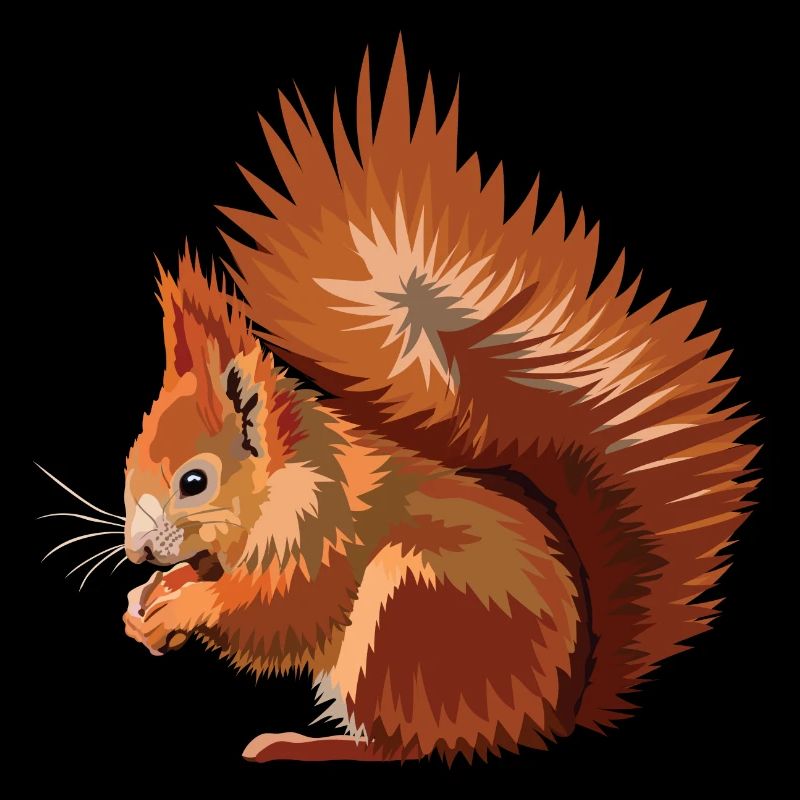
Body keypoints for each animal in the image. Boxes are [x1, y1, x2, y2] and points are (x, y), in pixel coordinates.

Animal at [118, 43, 758, 764]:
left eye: (194, 482)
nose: (136, 553)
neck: (280, 482)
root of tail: (552, 716)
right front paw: (148, 601)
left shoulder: (321, 530)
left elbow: (277, 612)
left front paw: (181, 606)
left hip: (409, 617)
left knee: (405, 747)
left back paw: (303, 745)